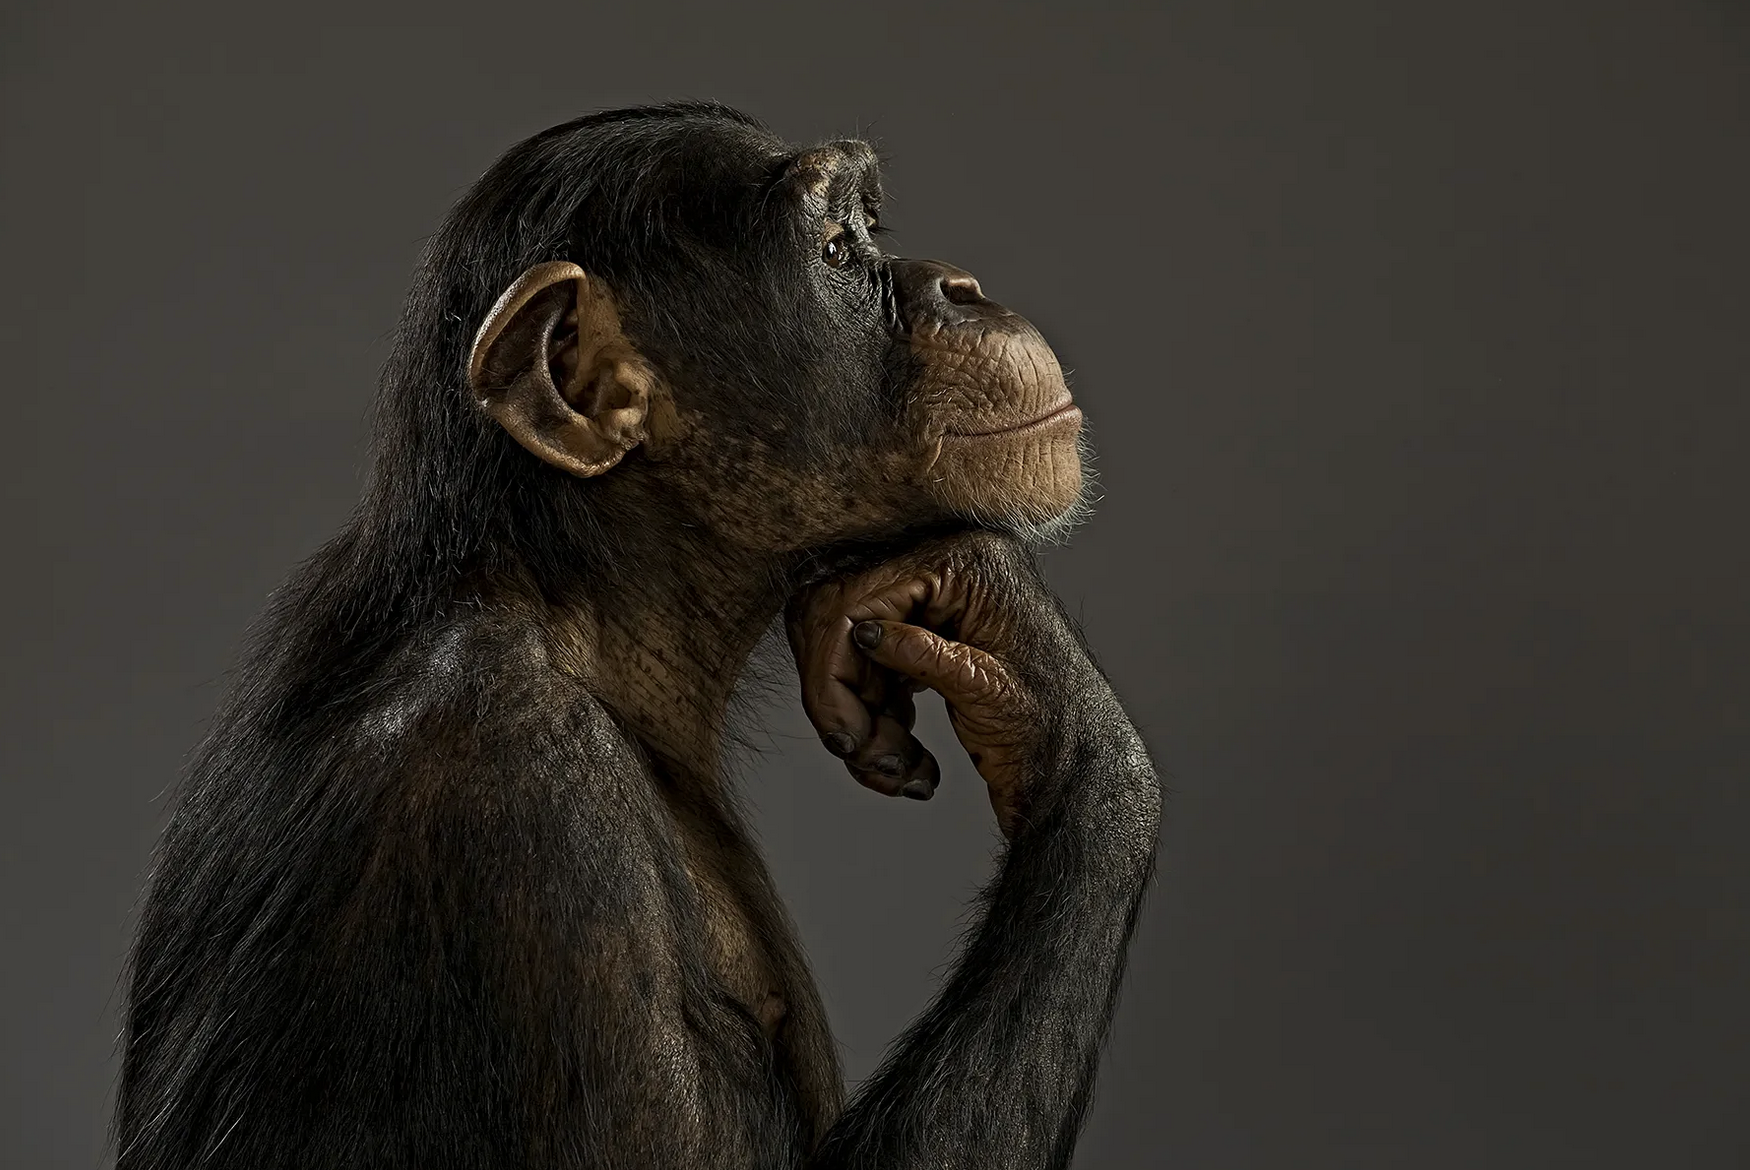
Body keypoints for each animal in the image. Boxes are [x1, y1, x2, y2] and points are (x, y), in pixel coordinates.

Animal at [115, 100, 1161, 1170]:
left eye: (872, 228)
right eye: (835, 248)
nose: (962, 287)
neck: (582, 614)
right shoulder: (525, 807)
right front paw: (1053, 692)